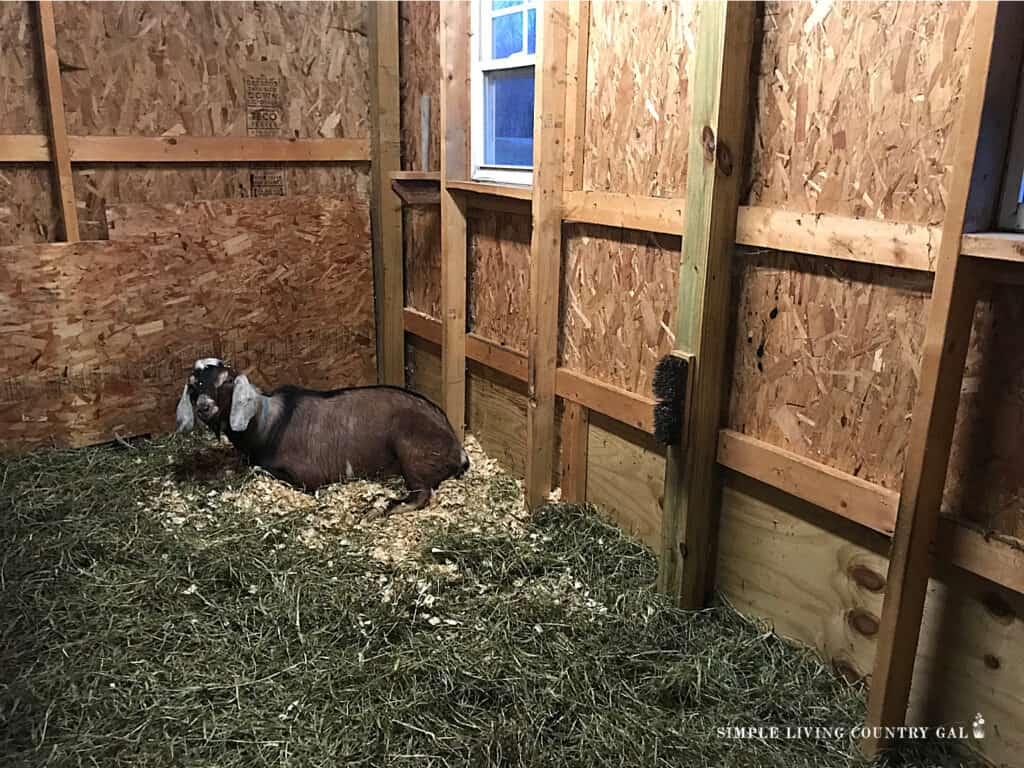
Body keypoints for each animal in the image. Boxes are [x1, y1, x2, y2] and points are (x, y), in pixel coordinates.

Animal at [175, 360, 468, 518]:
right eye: (193, 384)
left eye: (226, 382)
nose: (204, 407)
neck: (267, 425)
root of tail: (457, 448)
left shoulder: (308, 477)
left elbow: (264, 471)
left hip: (411, 451)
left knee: (422, 494)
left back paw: (380, 508)